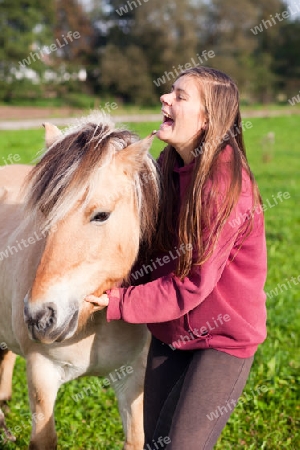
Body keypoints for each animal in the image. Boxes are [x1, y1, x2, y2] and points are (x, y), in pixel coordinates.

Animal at [0, 117, 161, 450]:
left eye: (101, 215)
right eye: (44, 214)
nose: (39, 316)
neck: (95, 323)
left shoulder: (132, 377)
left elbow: (136, 437)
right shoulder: (42, 373)